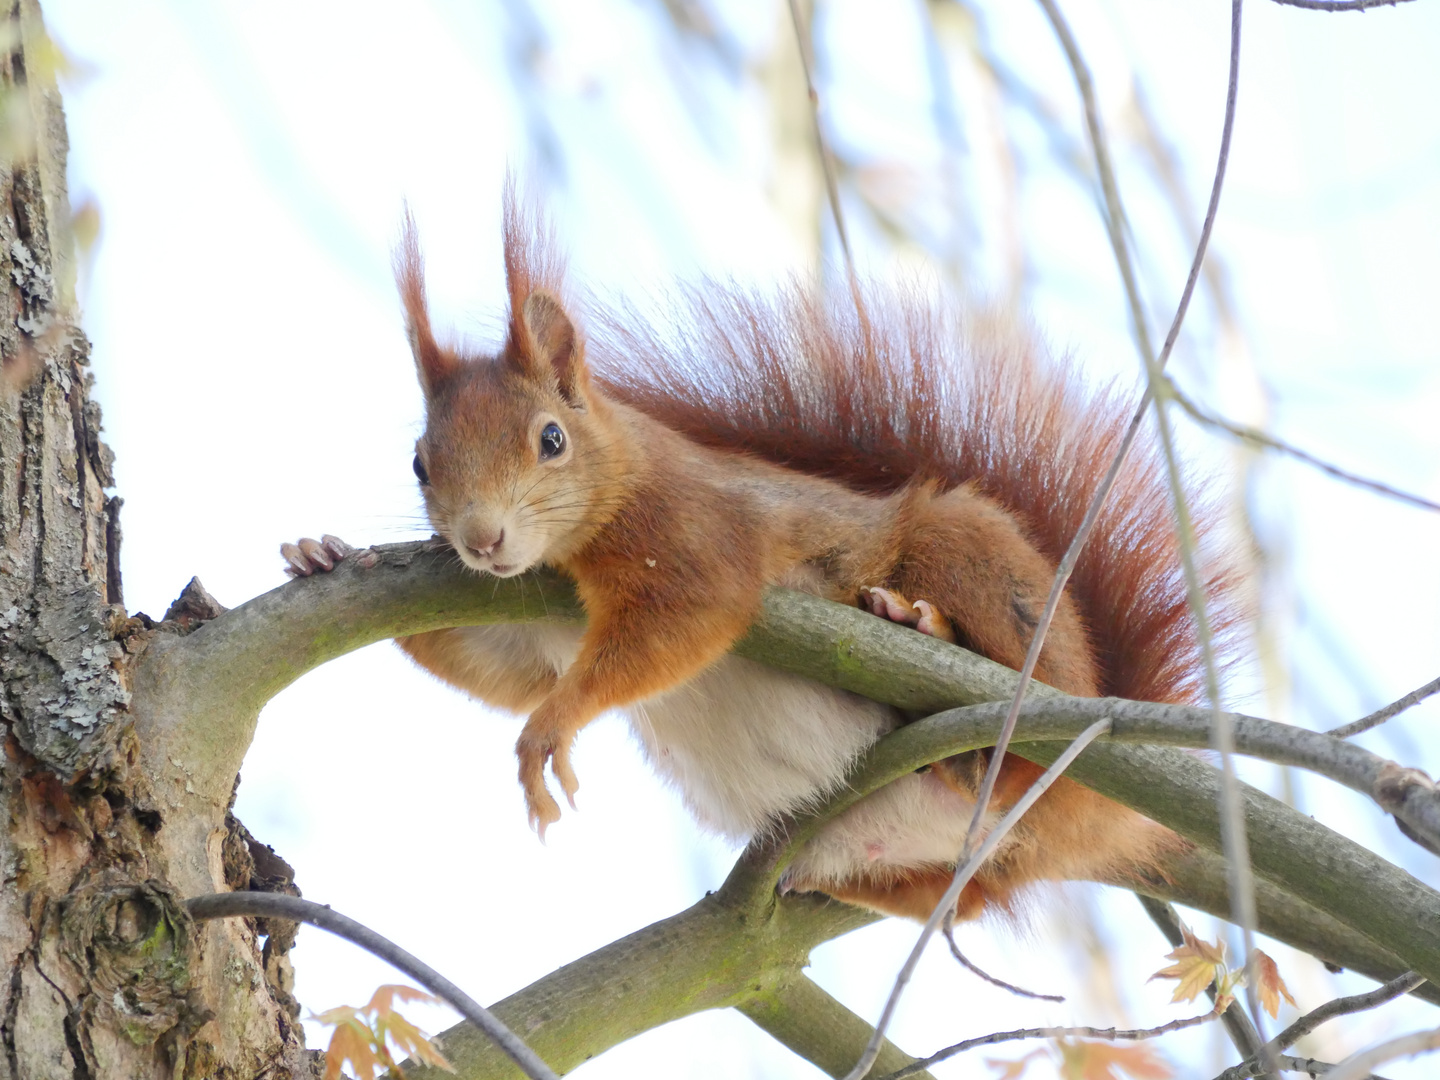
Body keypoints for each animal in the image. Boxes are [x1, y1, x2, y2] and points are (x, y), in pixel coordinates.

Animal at [283, 192, 1238, 921]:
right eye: (419, 462)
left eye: (551, 439)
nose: (483, 542)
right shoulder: (538, 631)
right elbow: (496, 673)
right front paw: (321, 554)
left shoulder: (698, 533)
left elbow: (688, 620)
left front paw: (551, 729)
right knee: (951, 903)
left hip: (978, 567)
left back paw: (928, 638)